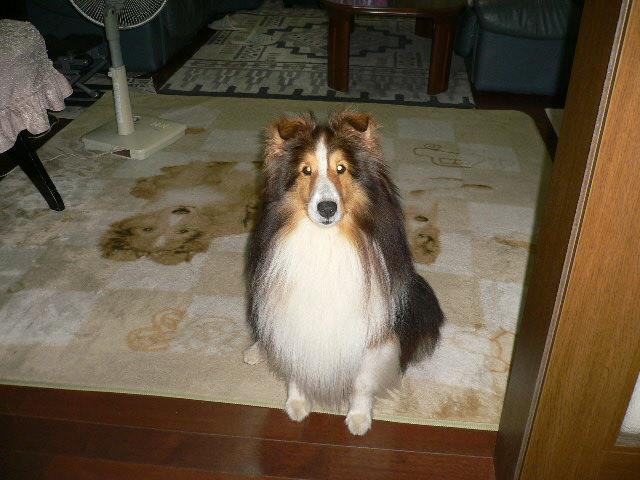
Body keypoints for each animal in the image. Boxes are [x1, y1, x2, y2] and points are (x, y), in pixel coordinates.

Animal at [244, 111, 444, 435]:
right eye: (306, 170)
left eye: (342, 168)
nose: (327, 208)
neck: (326, 241)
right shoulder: (291, 315)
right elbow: (295, 361)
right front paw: (297, 404)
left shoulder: (370, 325)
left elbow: (362, 381)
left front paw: (359, 418)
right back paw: (255, 350)